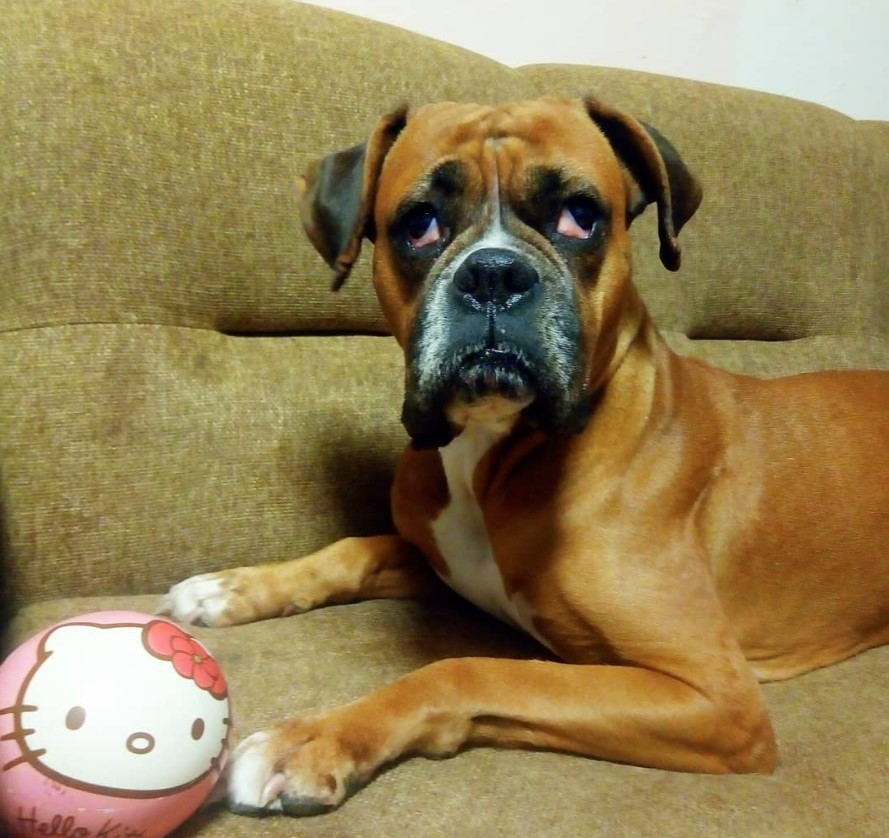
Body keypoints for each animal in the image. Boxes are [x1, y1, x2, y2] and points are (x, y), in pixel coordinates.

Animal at [160, 95, 888, 816]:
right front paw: (233, 588)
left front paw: (315, 739)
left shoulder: (716, 698)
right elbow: (353, 551)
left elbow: (467, 670)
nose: (493, 272)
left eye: (580, 217)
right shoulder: (443, 564)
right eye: (419, 224)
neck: (493, 454)